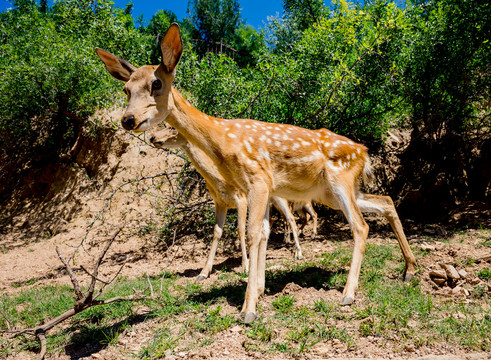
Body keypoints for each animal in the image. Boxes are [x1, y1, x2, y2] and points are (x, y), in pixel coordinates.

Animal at [150, 126, 312, 278]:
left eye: (172, 127)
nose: (152, 137)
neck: (217, 180)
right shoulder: (220, 202)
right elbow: (217, 232)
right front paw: (204, 272)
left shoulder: (241, 199)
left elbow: (240, 229)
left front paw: (245, 267)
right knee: (272, 222)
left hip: (279, 198)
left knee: (290, 218)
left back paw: (298, 253)